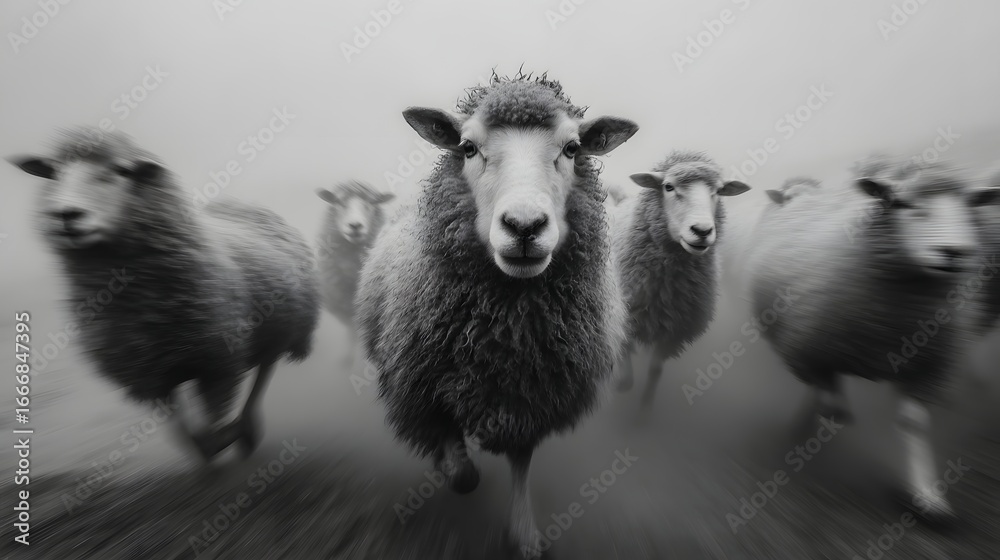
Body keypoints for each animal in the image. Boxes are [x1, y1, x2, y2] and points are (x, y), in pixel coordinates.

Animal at [9, 127, 320, 461]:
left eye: (122, 170)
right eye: (54, 173)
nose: (66, 215)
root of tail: (245, 205)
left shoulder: (217, 361)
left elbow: (215, 416)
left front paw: (224, 439)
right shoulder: (148, 370)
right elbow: (181, 429)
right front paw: (206, 447)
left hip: (283, 326)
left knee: (264, 371)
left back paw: (247, 428)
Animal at [315, 180, 395, 367]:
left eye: (373, 202)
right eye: (338, 202)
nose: (355, 226)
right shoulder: (343, 308)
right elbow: (352, 334)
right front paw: (349, 360)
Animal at [355, 71, 637, 557]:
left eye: (572, 148)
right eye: (468, 147)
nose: (524, 226)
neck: (506, 331)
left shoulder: (531, 395)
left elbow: (521, 461)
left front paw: (524, 534)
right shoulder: (421, 388)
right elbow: (463, 472)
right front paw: (452, 467)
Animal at [609, 151, 750, 407]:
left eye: (718, 190)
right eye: (668, 186)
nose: (702, 231)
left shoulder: (674, 329)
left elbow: (655, 371)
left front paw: (645, 406)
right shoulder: (621, 320)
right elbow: (625, 379)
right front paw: (617, 387)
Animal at [746, 154, 993, 520]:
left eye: (969, 205)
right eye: (903, 203)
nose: (954, 251)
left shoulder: (927, 367)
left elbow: (913, 423)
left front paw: (928, 496)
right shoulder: (810, 349)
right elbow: (831, 400)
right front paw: (829, 415)